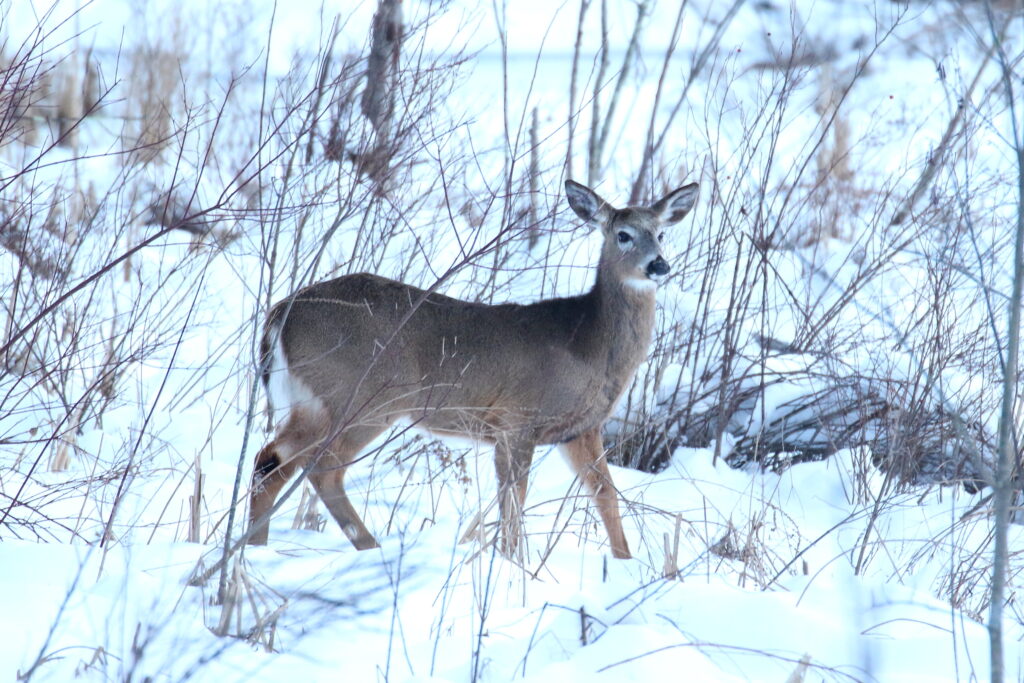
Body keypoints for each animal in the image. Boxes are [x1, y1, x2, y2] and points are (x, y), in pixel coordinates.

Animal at [247, 179, 700, 557]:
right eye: (623, 235)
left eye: (661, 233)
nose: (659, 265)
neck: (587, 344)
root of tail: (280, 314)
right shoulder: (517, 420)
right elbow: (514, 503)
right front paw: (513, 563)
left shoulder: (578, 429)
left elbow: (605, 493)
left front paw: (627, 561)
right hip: (363, 397)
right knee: (322, 468)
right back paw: (369, 548)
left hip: (314, 400)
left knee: (271, 459)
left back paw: (256, 550)